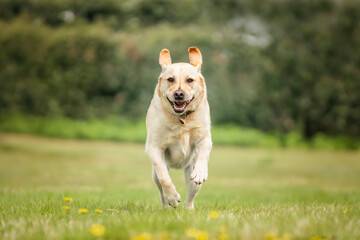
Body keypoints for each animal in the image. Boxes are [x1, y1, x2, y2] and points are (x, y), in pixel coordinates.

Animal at [144, 46, 211, 208]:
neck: (181, 119)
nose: (179, 94)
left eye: (190, 80)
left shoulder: (204, 138)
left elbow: (203, 154)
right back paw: (166, 206)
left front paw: (200, 172)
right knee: (161, 188)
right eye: (170, 79)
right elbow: (164, 177)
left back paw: (188, 208)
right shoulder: (154, 147)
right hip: (154, 175)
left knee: (191, 194)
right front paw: (173, 197)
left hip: (191, 173)